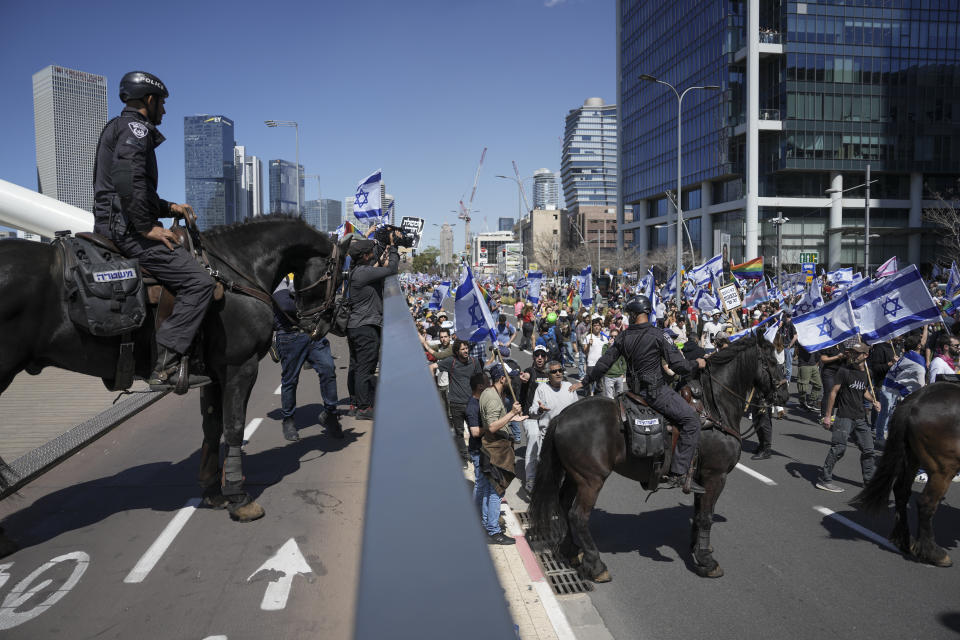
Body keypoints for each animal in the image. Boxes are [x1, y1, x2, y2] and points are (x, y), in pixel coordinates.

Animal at [528, 336, 784, 580]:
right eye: (772, 361)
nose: (783, 394)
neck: (715, 407)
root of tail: (561, 416)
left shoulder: (701, 478)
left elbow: (699, 514)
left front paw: (697, 549)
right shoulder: (715, 476)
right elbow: (705, 517)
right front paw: (707, 561)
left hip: (575, 476)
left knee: (564, 506)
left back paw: (571, 551)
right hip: (591, 480)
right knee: (578, 516)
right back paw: (596, 565)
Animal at [856, 380, 960, 564]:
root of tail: (916, 401)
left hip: (912, 457)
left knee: (901, 492)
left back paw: (904, 541)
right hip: (943, 469)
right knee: (926, 504)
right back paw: (933, 553)